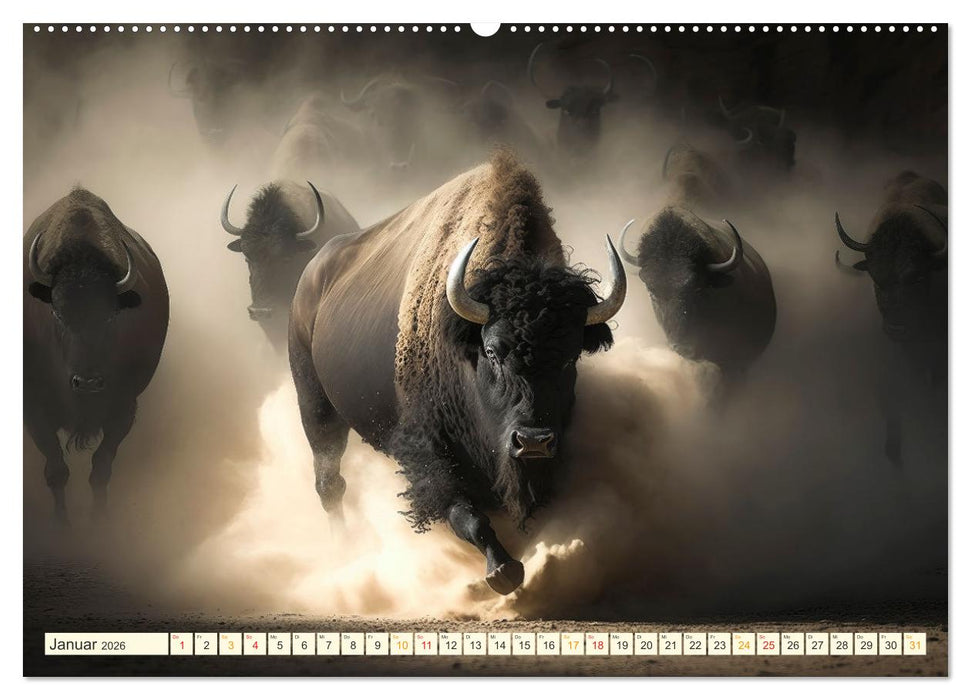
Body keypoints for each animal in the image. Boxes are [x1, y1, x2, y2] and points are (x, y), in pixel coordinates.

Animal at [24, 189, 169, 522]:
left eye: (110, 315)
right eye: (57, 313)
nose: (87, 382)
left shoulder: (124, 408)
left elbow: (101, 468)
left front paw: (98, 523)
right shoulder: (34, 410)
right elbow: (56, 470)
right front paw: (62, 526)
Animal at [289, 152, 626, 594]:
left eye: (571, 358)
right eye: (492, 351)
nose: (532, 441)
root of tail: (311, 277)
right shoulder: (429, 452)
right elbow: (466, 515)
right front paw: (503, 571)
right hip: (315, 405)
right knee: (330, 481)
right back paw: (345, 552)